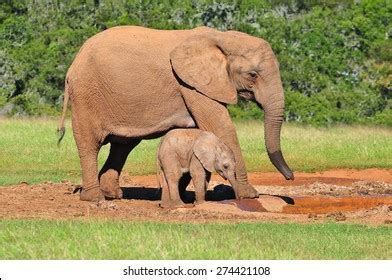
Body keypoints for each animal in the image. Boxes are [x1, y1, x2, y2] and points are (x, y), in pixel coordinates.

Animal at [56, 26, 292, 201]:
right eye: (252, 75)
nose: (290, 176)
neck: (222, 37)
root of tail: (73, 64)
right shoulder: (191, 85)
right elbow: (221, 127)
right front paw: (250, 196)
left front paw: (182, 195)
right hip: (87, 94)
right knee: (90, 143)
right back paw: (94, 198)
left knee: (123, 145)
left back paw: (112, 195)